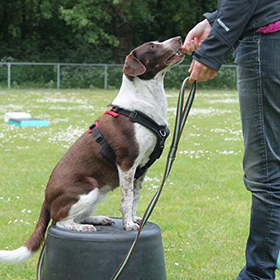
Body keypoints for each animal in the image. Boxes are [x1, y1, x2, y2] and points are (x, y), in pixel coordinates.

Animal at [0, 36, 184, 264]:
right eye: (151, 46)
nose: (179, 38)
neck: (144, 103)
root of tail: (46, 199)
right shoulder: (127, 164)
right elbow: (126, 200)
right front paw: (128, 225)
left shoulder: (142, 169)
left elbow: (135, 199)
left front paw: (133, 219)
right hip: (89, 187)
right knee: (60, 220)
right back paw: (84, 227)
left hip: (96, 193)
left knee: (77, 216)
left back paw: (97, 219)